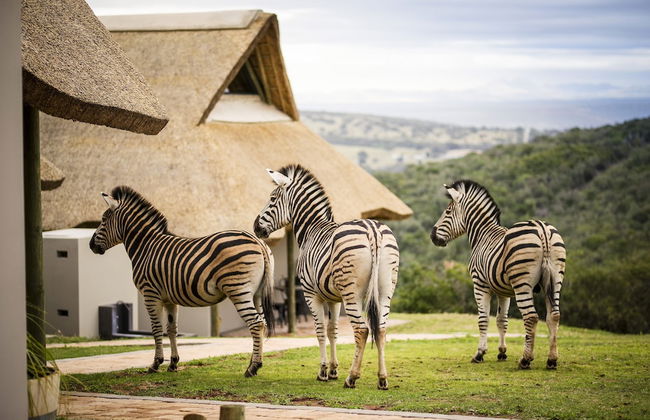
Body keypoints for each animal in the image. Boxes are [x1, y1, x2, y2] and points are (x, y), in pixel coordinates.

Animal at [88, 186, 275, 376]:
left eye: (103, 220)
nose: (90, 245)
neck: (146, 246)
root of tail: (258, 241)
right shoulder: (169, 299)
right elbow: (172, 330)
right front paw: (173, 363)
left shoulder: (150, 294)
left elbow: (156, 329)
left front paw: (155, 364)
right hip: (256, 293)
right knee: (262, 323)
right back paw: (256, 363)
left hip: (238, 289)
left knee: (255, 323)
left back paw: (252, 368)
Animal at [253, 164, 399, 390]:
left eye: (272, 199)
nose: (255, 227)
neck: (311, 229)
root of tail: (372, 230)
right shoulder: (334, 298)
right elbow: (333, 331)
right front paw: (333, 370)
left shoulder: (311, 294)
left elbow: (321, 330)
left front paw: (323, 371)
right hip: (385, 291)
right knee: (381, 330)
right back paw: (382, 379)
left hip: (352, 294)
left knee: (362, 330)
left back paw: (352, 377)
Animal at [430, 180, 565, 370]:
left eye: (448, 211)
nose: (432, 236)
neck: (482, 234)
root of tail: (542, 229)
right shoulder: (504, 291)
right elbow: (502, 320)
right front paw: (502, 352)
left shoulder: (479, 284)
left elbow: (483, 319)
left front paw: (479, 354)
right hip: (555, 280)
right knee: (554, 316)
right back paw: (552, 360)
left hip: (522, 283)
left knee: (531, 318)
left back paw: (525, 359)